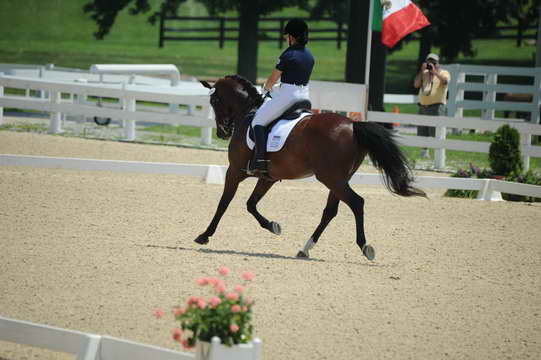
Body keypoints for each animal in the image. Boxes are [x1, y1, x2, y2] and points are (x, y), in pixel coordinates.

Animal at [196, 74, 424, 260]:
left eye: (214, 101)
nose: (222, 132)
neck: (248, 112)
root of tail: (352, 125)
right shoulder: (268, 177)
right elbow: (251, 204)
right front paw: (273, 226)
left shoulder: (234, 171)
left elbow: (224, 203)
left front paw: (204, 235)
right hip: (338, 179)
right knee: (330, 211)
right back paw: (305, 248)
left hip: (332, 178)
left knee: (356, 203)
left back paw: (365, 246)